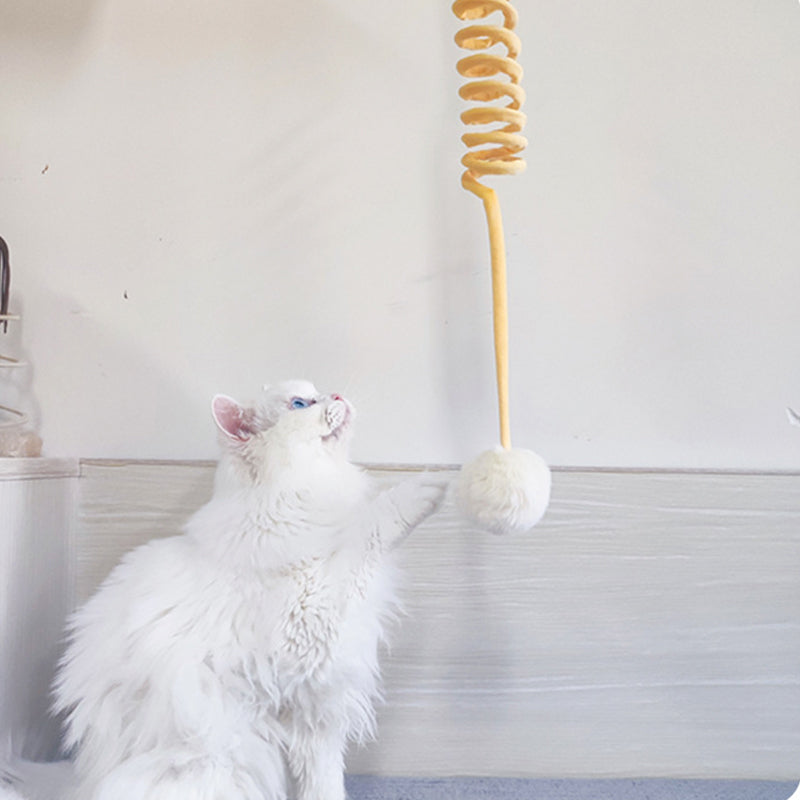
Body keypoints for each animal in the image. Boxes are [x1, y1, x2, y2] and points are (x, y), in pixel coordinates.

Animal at [53, 382, 446, 800]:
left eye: (320, 392)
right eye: (300, 403)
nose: (338, 396)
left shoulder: (315, 709)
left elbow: (323, 782)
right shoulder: (316, 613)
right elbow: (374, 525)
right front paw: (431, 486)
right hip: (217, 760)